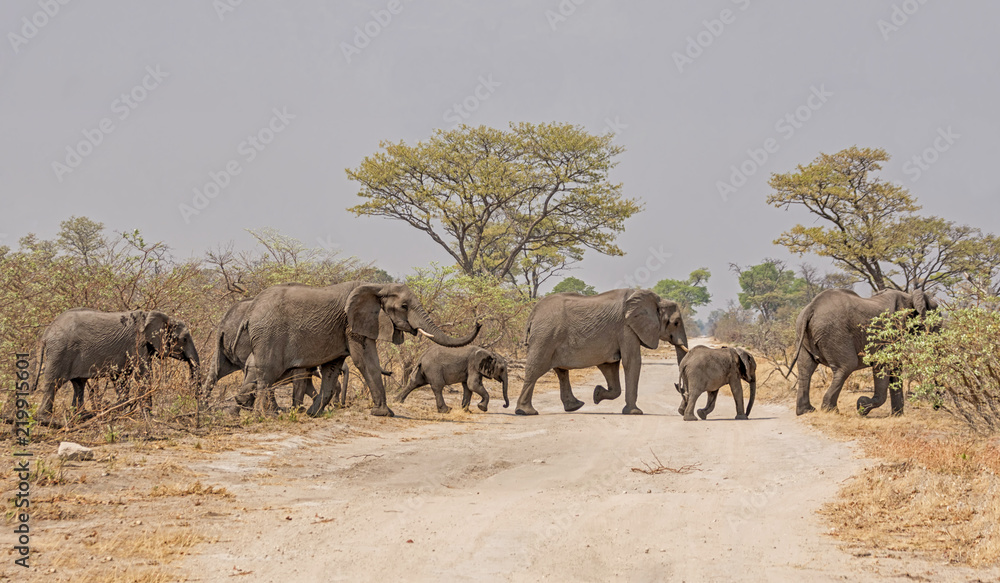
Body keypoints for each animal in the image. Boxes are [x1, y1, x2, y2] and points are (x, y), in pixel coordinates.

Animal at [32, 308, 200, 425]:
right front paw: (148, 416)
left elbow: (121, 379)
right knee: (53, 383)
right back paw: (51, 421)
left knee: (79, 384)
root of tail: (46, 333)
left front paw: (120, 411)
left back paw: (83, 416)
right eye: (184, 339)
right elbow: (143, 375)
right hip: (60, 352)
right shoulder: (137, 344)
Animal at [234, 281, 480, 417]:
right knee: (267, 374)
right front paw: (384, 413)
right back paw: (264, 416)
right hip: (268, 335)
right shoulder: (352, 324)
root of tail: (249, 312)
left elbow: (332, 369)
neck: (378, 286)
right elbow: (365, 360)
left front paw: (315, 414)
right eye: (404, 306)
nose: (478, 321)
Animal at [516, 289, 688, 416]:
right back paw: (525, 412)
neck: (655, 300)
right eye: (676, 323)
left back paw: (575, 406)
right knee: (535, 369)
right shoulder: (626, 328)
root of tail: (533, 313)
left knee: (561, 371)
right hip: (545, 337)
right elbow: (631, 361)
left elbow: (610, 366)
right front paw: (635, 413)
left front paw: (597, 394)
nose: (681, 410)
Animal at [791, 288, 938, 417]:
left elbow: (895, 367)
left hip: (804, 334)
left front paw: (897, 416)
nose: (936, 407)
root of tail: (811, 308)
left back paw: (807, 411)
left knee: (805, 368)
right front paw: (861, 407)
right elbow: (883, 364)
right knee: (846, 366)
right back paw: (831, 411)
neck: (910, 296)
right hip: (833, 334)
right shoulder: (891, 331)